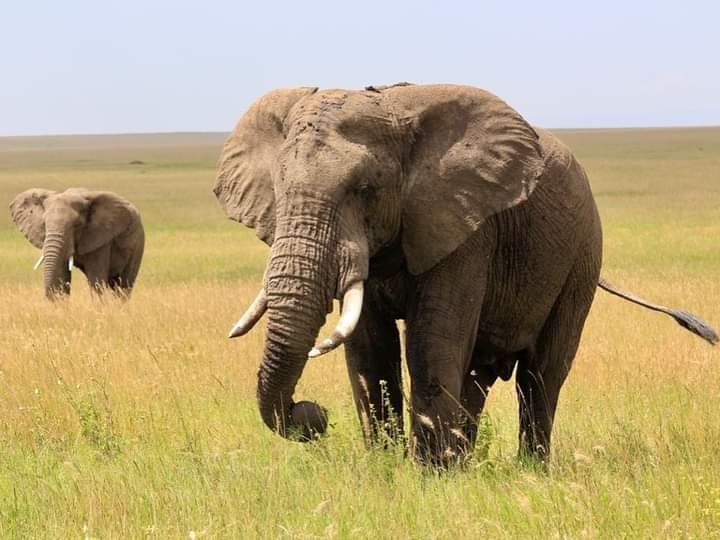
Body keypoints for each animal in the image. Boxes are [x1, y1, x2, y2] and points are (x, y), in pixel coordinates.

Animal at [9, 188, 145, 300]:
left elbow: (96, 279)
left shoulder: (101, 238)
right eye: (44, 224)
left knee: (123, 285)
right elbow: (61, 274)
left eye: (76, 225)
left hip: (138, 243)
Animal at [212, 83, 716, 464]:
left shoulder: (467, 229)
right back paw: (468, 461)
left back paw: (528, 471)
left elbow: (432, 344)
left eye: (366, 189)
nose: (312, 416)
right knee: (477, 373)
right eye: (278, 190)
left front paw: (429, 477)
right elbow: (369, 351)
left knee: (542, 376)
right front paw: (387, 470)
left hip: (582, 256)